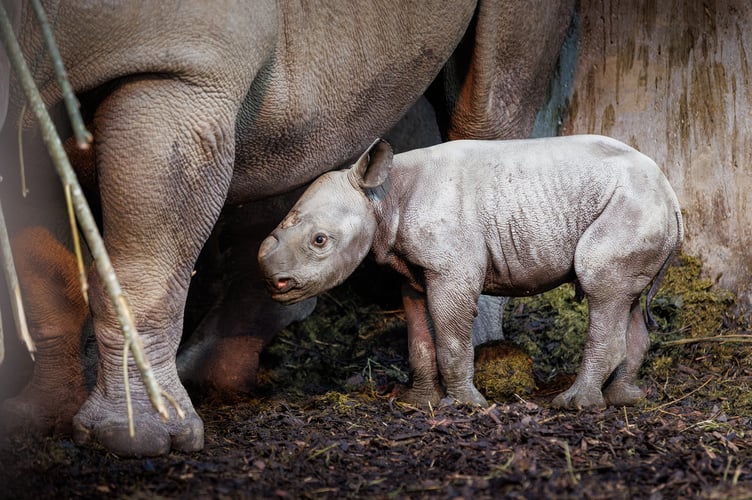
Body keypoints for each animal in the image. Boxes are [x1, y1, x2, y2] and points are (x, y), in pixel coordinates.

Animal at [258, 135, 683, 409]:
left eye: (319, 241)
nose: (276, 284)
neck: (380, 195)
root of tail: (669, 190)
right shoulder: (411, 272)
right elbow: (419, 340)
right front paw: (418, 403)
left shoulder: (452, 269)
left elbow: (450, 338)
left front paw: (464, 405)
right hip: (640, 207)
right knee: (624, 298)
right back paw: (624, 399)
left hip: (632, 205)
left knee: (601, 289)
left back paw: (574, 405)